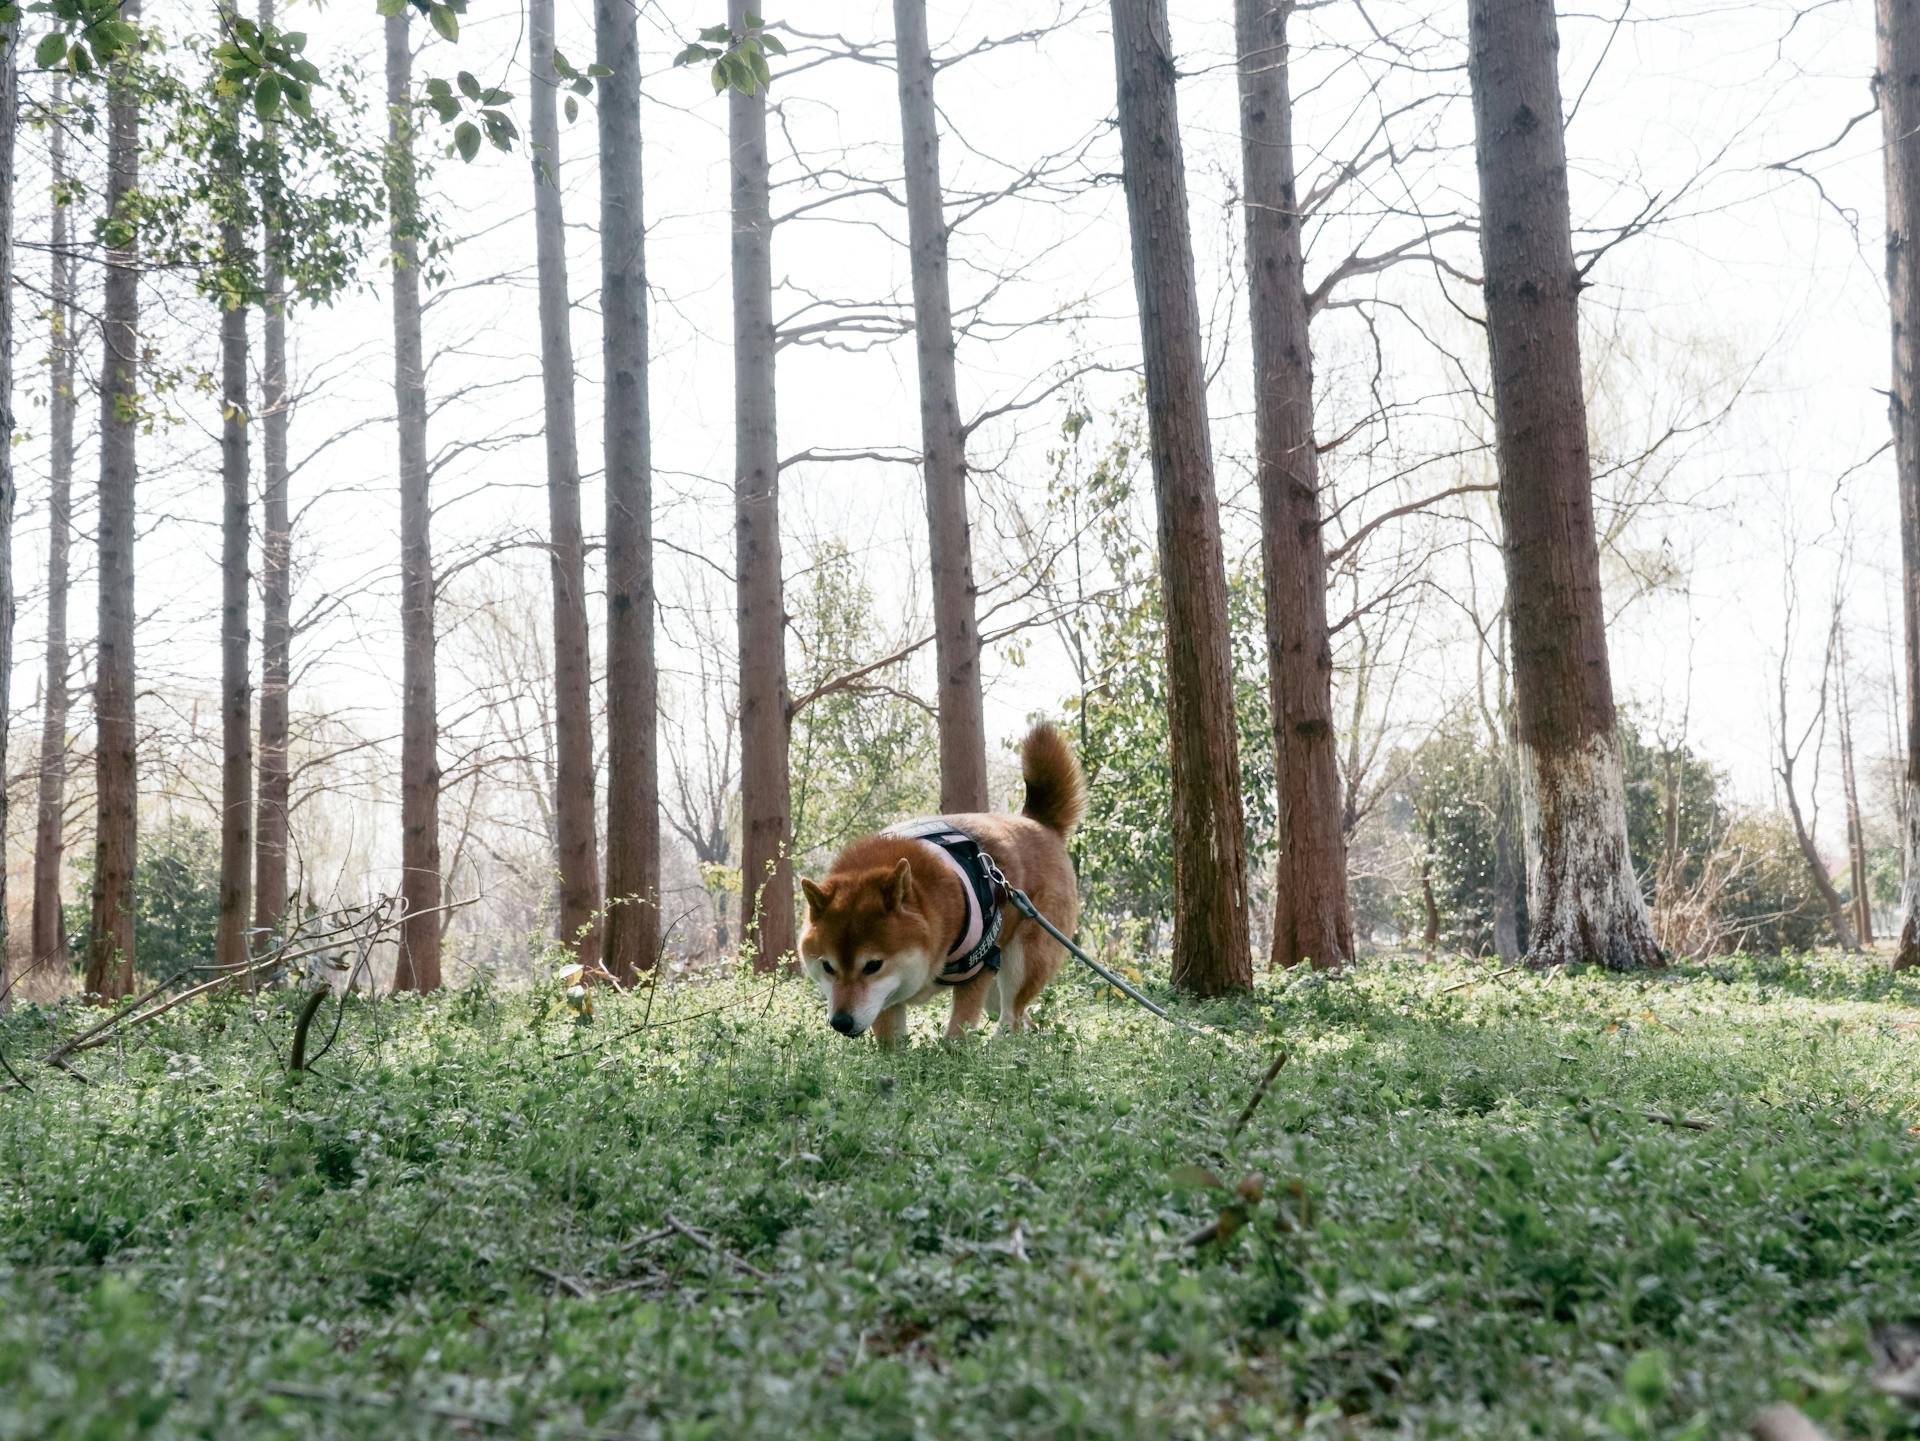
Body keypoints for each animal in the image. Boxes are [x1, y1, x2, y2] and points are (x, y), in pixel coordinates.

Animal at [798, 725, 1090, 1043]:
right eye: (827, 966)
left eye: (872, 966)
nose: (841, 1022)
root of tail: (1039, 823)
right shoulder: (888, 999)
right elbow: (891, 1042)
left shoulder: (979, 968)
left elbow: (958, 1032)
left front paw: (955, 1053)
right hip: (996, 985)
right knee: (1019, 1017)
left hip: (1020, 962)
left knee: (1011, 1015)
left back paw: (998, 1047)